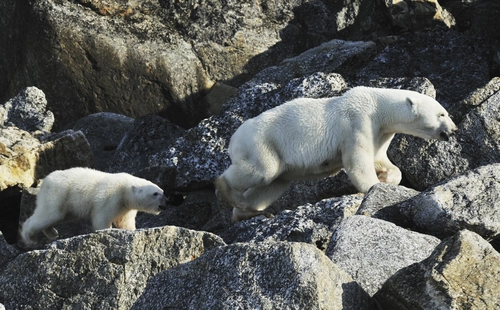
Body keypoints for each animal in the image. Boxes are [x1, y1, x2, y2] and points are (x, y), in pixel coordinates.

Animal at [21, 166, 168, 246]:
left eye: (162, 191)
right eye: (155, 193)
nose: (166, 203)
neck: (125, 190)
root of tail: (45, 181)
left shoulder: (126, 207)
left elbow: (125, 221)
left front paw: (130, 230)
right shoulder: (111, 197)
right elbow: (101, 218)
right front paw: (107, 231)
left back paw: (52, 232)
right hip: (58, 194)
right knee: (49, 214)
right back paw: (30, 239)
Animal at [215, 86, 458, 222]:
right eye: (442, 114)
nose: (454, 130)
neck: (378, 106)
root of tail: (233, 139)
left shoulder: (382, 132)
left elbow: (380, 159)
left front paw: (386, 178)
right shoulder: (358, 122)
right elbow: (358, 161)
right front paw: (372, 187)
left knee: (273, 183)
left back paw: (249, 211)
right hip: (262, 143)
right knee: (262, 171)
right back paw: (229, 192)